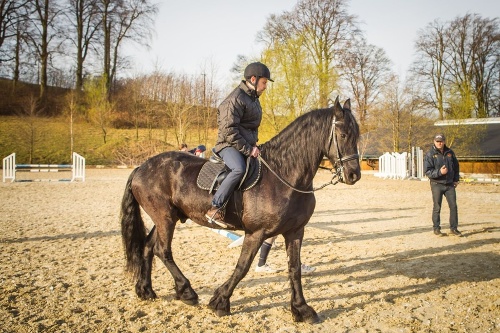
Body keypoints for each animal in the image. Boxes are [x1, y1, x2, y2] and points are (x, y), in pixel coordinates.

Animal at [119, 96, 360, 322]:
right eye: (343, 134)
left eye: (357, 135)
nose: (353, 175)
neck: (283, 175)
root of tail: (141, 167)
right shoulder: (256, 233)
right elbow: (242, 266)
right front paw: (220, 301)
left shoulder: (295, 231)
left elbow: (295, 268)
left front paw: (302, 309)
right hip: (165, 218)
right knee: (162, 250)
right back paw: (186, 291)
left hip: (166, 218)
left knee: (148, 247)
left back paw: (146, 290)